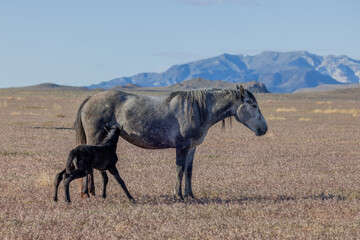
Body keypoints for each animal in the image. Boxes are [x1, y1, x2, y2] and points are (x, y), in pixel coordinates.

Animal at [74, 85, 268, 200]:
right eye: (253, 105)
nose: (264, 129)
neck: (198, 109)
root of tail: (90, 99)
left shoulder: (191, 148)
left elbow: (189, 171)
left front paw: (190, 195)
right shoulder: (181, 146)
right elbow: (179, 169)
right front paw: (178, 195)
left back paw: (90, 191)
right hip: (95, 139)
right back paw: (86, 192)